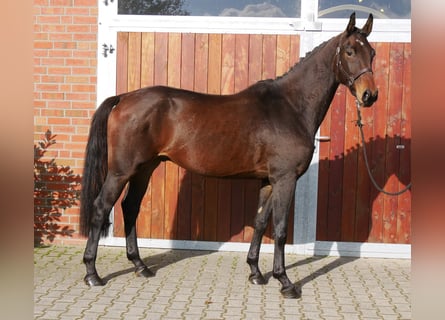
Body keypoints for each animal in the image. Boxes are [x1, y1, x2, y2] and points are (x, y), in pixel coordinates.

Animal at [79, 12, 374, 298]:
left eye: (371, 53)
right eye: (350, 51)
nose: (370, 95)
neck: (290, 107)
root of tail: (124, 97)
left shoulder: (268, 181)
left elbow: (260, 221)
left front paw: (256, 272)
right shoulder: (285, 179)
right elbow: (279, 228)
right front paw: (285, 282)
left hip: (144, 169)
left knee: (130, 207)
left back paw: (141, 266)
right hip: (121, 171)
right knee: (101, 207)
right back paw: (93, 274)